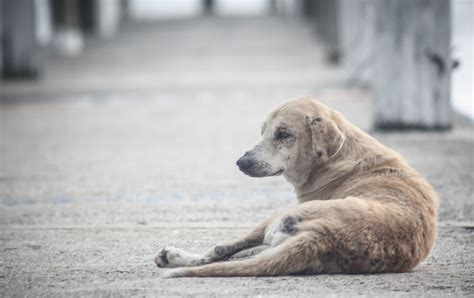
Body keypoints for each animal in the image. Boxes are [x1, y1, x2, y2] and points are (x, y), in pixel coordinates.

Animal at [154, 97, 438, 278]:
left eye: (283, 134)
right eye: (263, 132)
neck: (338, 156)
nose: (241, 163)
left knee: (220, 253)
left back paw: (174, 257)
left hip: (278, 218)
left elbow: (223, 249)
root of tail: (323, 237)